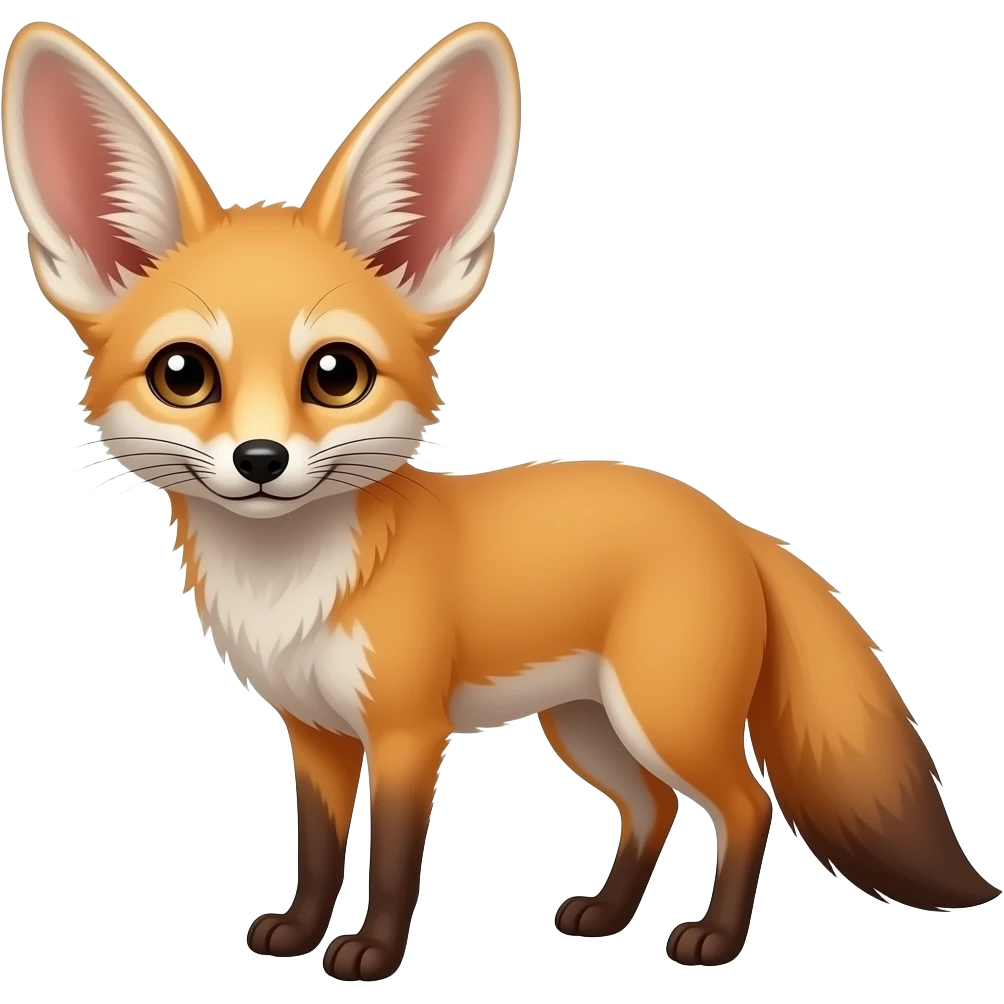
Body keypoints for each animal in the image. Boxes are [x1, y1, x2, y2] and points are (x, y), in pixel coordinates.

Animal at [4, 17, 998, 982]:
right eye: (183, 374)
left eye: (335, 374)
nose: (260, 458)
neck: (293, 591)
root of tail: (729, 521)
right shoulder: (315, 734)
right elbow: (319, 852)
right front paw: (297, 932)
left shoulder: (409, 730)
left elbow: (394, 859)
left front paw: (372, 955)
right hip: (587, 727)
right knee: (653, 808)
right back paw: (606, 918)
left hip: (663, 717)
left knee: (746, 806)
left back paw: (712, 940)